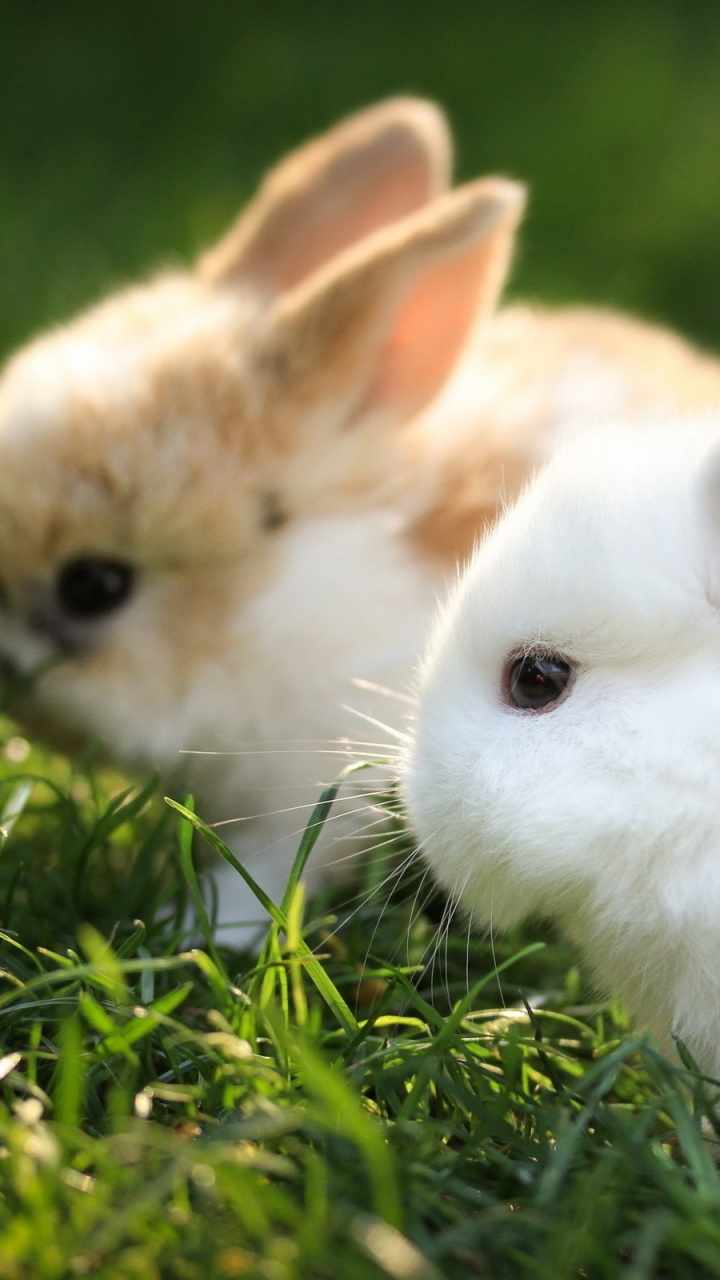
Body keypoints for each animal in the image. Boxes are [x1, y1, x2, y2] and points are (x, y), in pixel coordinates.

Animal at [2, 95, 720, 945]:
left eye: (95, 585)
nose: (7, 674)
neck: (272, 601)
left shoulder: (320, 784)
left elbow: (277, 865)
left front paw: (193, 930)